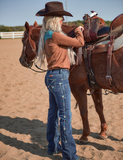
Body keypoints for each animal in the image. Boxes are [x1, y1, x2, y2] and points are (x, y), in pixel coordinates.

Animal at [19, 14, 123, 142]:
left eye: (23, 41)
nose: (21, 60)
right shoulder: (94, 86)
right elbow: (99, 108)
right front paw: (103, 132)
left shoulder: (77, 88)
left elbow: (83, 111)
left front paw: (84, 136)